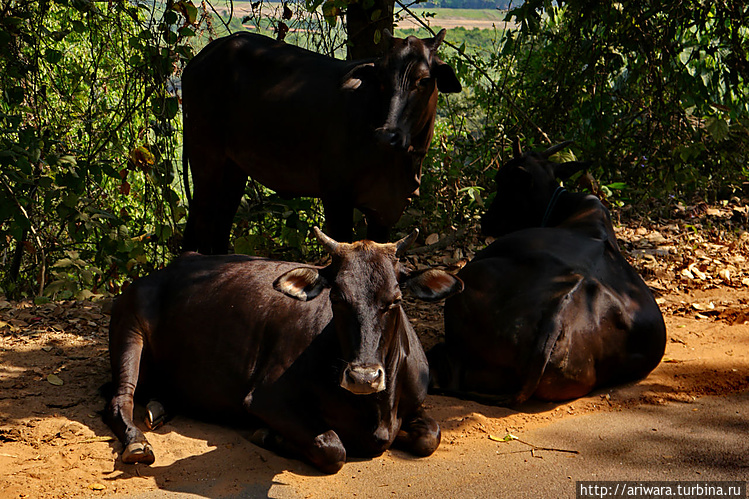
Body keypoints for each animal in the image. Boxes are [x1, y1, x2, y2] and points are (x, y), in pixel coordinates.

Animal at [105, 229, 462, 474]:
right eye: (337, 297)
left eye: (395, 300)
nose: (364, 377)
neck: (376, 411)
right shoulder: (265, 398)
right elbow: (333, 447)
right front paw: (268, 436)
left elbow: (431, 436)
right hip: (130, 329)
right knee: (119, 399)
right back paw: (138, 442)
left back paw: (159, 407)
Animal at [183, 30, 462, 254]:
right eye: (381, 79)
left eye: (423, 80)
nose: (386, 135)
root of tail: (203, 56)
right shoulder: (336, 193)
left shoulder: (386, 209)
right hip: (205, 156)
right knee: (202, 221)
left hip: (234, 168)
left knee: (220, 221)